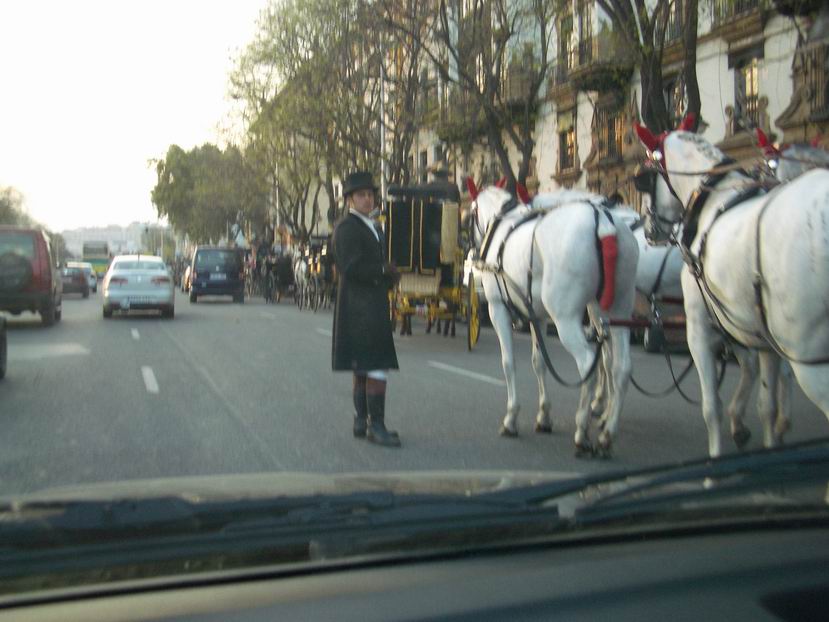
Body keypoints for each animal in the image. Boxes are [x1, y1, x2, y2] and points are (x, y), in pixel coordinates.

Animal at [468, 183, 636, 456]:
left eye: (469, 215)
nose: (472, 252)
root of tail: (603, 222)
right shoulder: (538, 316)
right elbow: (539, 363)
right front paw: (544, 415)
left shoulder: (497, 309)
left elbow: (508, 363)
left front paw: (511, 417)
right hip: (619, 310)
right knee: (620, 368)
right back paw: (607, 434)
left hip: (565, 319)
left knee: (588, 364)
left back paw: (582, 431)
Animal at [632, 124, 828, 460]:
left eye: (645, 179)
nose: (648, 229)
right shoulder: (759, 333)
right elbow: (766, 404)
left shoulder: (701, 328)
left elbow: (712, 407)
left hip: (808, 354)